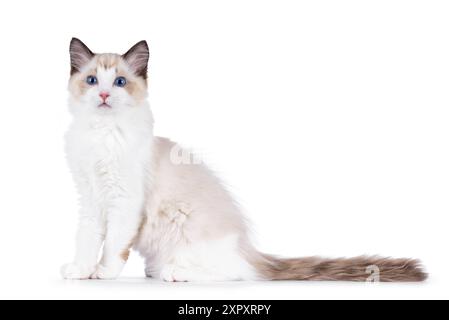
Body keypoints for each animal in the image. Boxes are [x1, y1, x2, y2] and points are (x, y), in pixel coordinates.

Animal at [60, 38, 428, 282]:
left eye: (120, 82)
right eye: (92, 81)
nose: (104, 95)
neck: (100, 135)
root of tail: (248, 248)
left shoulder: (124, 202)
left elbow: (113, 246)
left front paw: (103, 273)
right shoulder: (90, 198)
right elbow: (86, 239)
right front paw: (80, 270)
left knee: (231, 273)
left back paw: (173, 272)